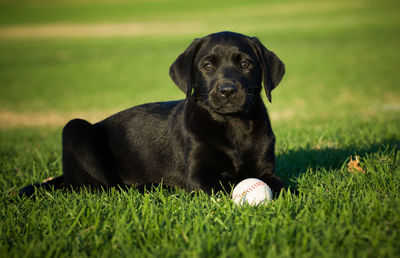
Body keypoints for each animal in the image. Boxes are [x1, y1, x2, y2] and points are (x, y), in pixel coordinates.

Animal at [20, 31, 286, 198]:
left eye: (245, 64)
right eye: (207, 65)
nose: (228, 90)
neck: (232, 125)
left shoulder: (266, 172)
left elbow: (285, 186)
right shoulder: (199, 177)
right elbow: (222, 187)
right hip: (75, 128)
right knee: (104, 188)